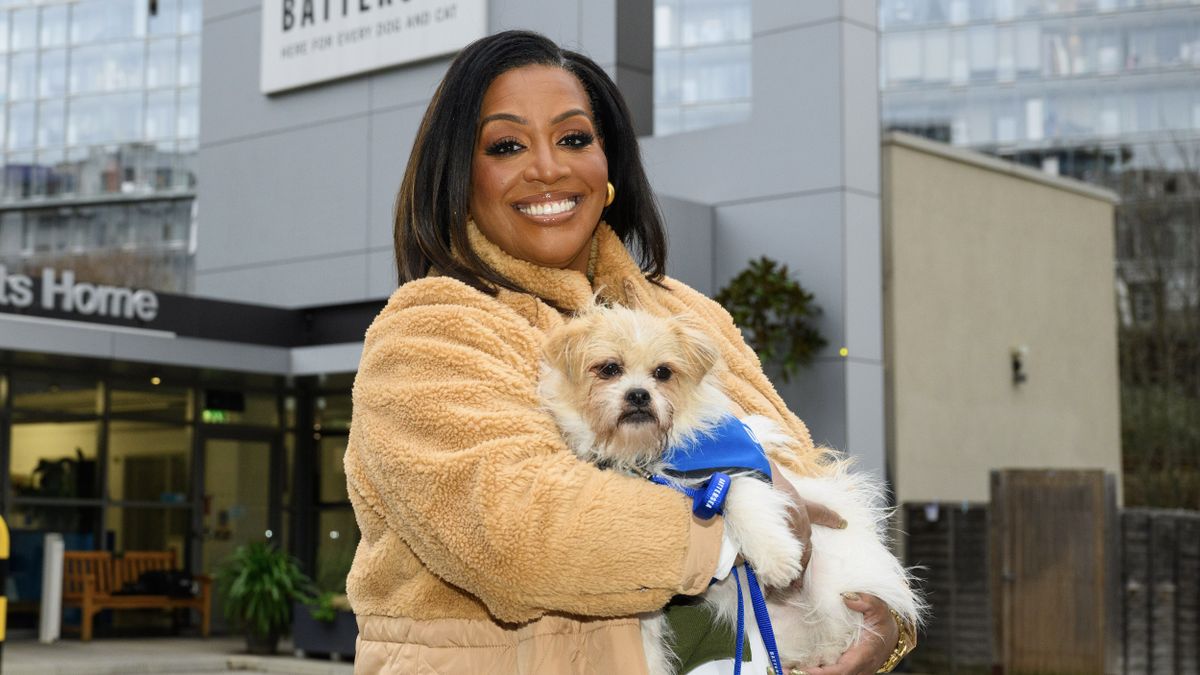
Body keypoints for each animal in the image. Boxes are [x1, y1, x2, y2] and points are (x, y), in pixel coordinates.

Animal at [540, 302, 921, 667]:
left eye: (663, 372)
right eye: (609, 369)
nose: (638, 395)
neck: (645, 455)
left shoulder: (738, 471)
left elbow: (743, 503)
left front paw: (777, 558)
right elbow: (645, 632)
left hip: (832, 588)